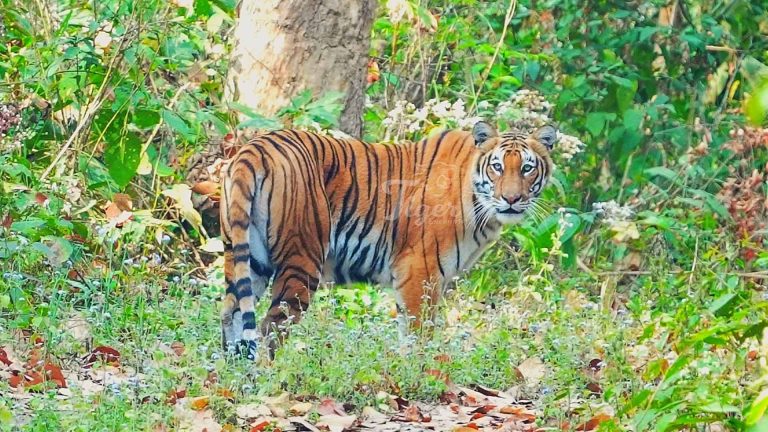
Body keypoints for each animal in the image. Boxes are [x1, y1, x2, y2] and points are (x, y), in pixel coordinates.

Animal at [219, 121, 558, 359]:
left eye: (527, 168)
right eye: (497, 166)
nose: (511, 199)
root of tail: (255, 147)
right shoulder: (420, 271)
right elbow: (420, 333)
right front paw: (420, 375)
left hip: (246, 257)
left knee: (230, 319)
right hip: (301, 260)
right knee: (269, 328)